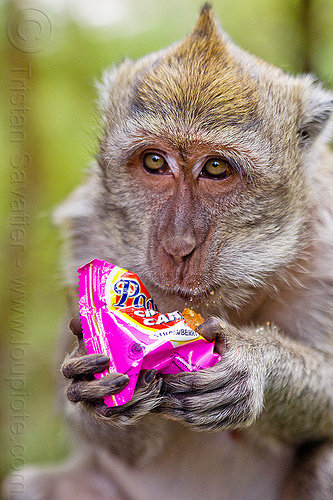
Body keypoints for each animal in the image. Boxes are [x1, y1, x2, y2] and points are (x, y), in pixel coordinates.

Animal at [4, 4, 332, 500]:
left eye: (215, 168)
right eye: (155, 162)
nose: (178, 246)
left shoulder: (326, 245)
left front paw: (252, 365)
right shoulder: (87, 237)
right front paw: (96, 377)